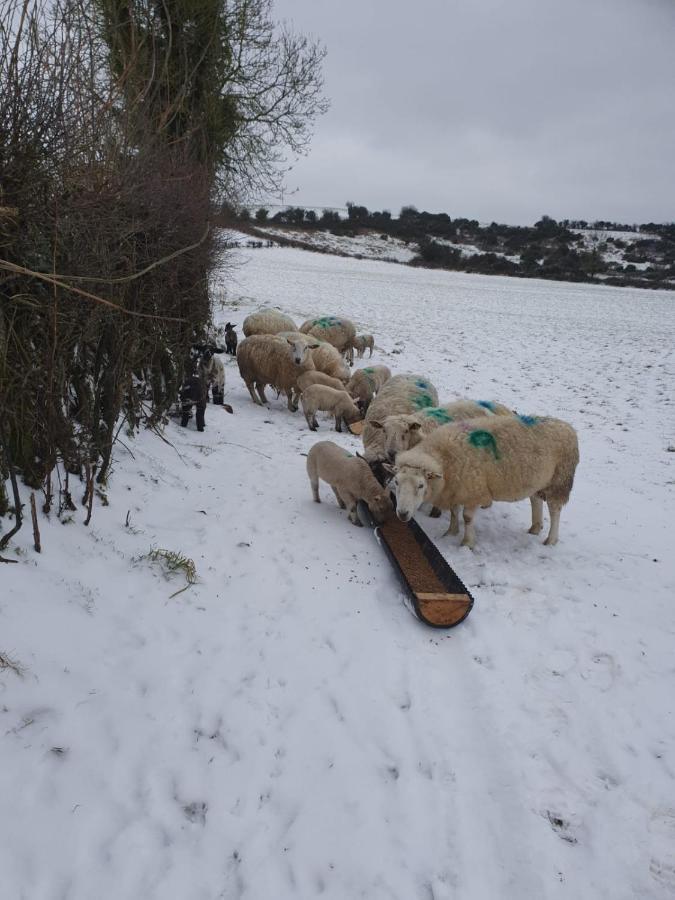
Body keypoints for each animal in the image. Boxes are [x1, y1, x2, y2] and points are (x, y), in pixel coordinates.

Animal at [390, 414, 580, 548]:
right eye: (396, 482)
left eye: (421, 485)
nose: (402, 513)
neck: (443, 459)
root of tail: (568, 427)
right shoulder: (456, 489)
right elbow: (453, 512)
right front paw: (451, 532)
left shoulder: (473, 491)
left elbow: (467, 517)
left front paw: (467, 543)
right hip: (538, 480)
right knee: (536, 500)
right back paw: (535, 527)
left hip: (559, 480)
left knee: (555, 510)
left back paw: (551, 540)